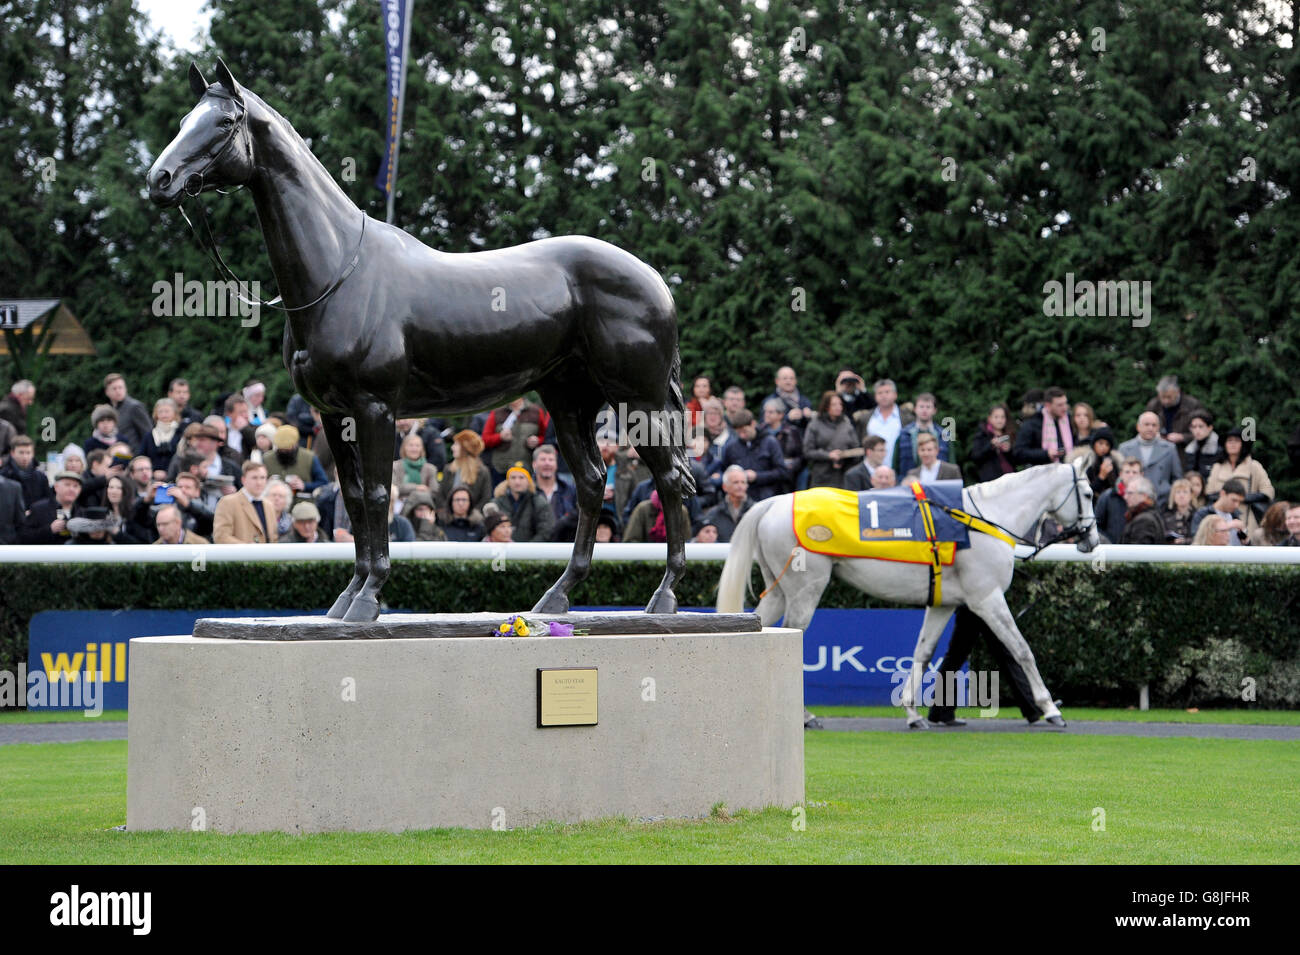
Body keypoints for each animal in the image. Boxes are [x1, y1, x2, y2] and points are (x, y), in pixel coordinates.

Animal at [717, 462, 1102, 722]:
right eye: (1088, 494)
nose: (1092, 541)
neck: (984, 520)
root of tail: (774, 503)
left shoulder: (945, 602)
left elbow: (924, 652)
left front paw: (913, 711)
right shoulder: (987, 598)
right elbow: (1021, 649)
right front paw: (1049, 707)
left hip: (779, 589)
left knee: (760, 626)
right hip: (805, 589)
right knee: (792, 635)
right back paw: (805, 714)